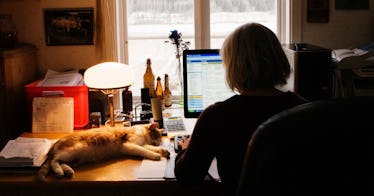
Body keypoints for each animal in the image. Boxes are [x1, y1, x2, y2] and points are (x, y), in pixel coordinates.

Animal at [35, 123, 170, 181]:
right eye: (156, 137)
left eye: (160, 139)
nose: (158, 142)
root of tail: (55, 143)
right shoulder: (129, 145)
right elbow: (144, 151)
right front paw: (156, 155)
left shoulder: (141, 144)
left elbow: (148, 147)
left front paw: (163, 151)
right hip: (72, 151)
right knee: (53, 160)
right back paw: (59, 172)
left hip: (75, 158)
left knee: (61, 162)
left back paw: (67, 171)